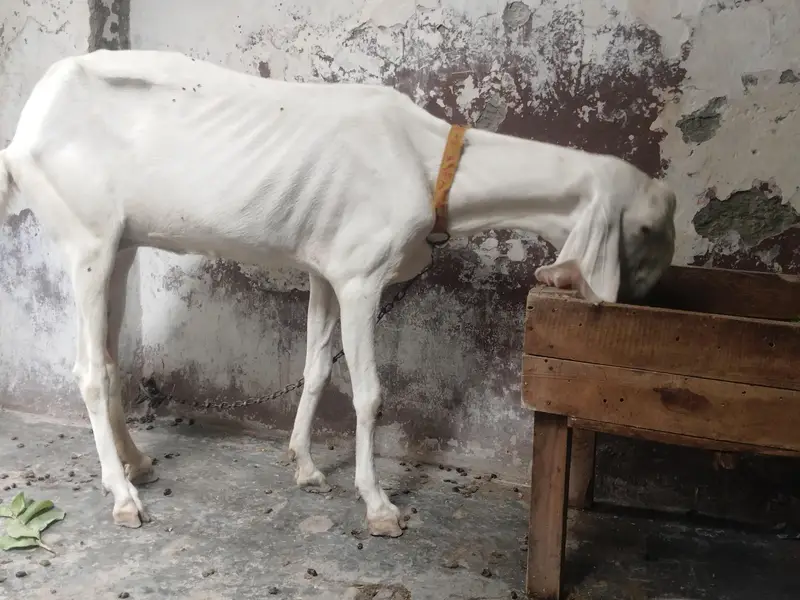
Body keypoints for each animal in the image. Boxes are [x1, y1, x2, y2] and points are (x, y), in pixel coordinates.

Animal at [0, 49, 676, 537]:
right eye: (647, 229)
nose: (650, 297)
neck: (423, 159)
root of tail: (23, 133)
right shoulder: (360, 277)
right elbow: (370, 394)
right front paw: (378, 505)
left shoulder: (325, 269)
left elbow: (317, 367)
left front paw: (303, 465)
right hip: (86, 242)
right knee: (88, 369)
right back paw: (123, 496)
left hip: (120, 246)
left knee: (111, 358)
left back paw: (135, 462)